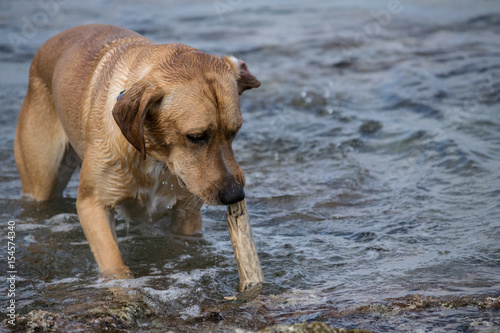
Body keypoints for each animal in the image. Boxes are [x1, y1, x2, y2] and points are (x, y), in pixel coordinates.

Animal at [13, 24, 260, 278]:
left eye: (234, 131)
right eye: (196, 137)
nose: (235, 195)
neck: (154, 158)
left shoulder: (186, 214)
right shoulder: (92, 205)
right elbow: (114, 264)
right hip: (42, 179)